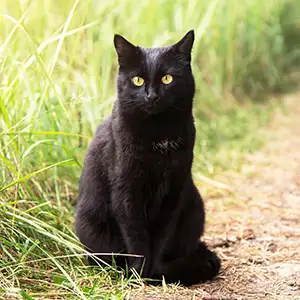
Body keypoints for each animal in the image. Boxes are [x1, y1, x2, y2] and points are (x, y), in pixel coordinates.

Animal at [75, 30, 220, 286]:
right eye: (138, 80)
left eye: (167, 79)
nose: (151, 96)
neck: (158, 134)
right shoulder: (126, 189)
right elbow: (137, 235)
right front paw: (140, 272)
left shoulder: (174, 189)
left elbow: (162, 234)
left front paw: (157, 271)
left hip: (195, 207)